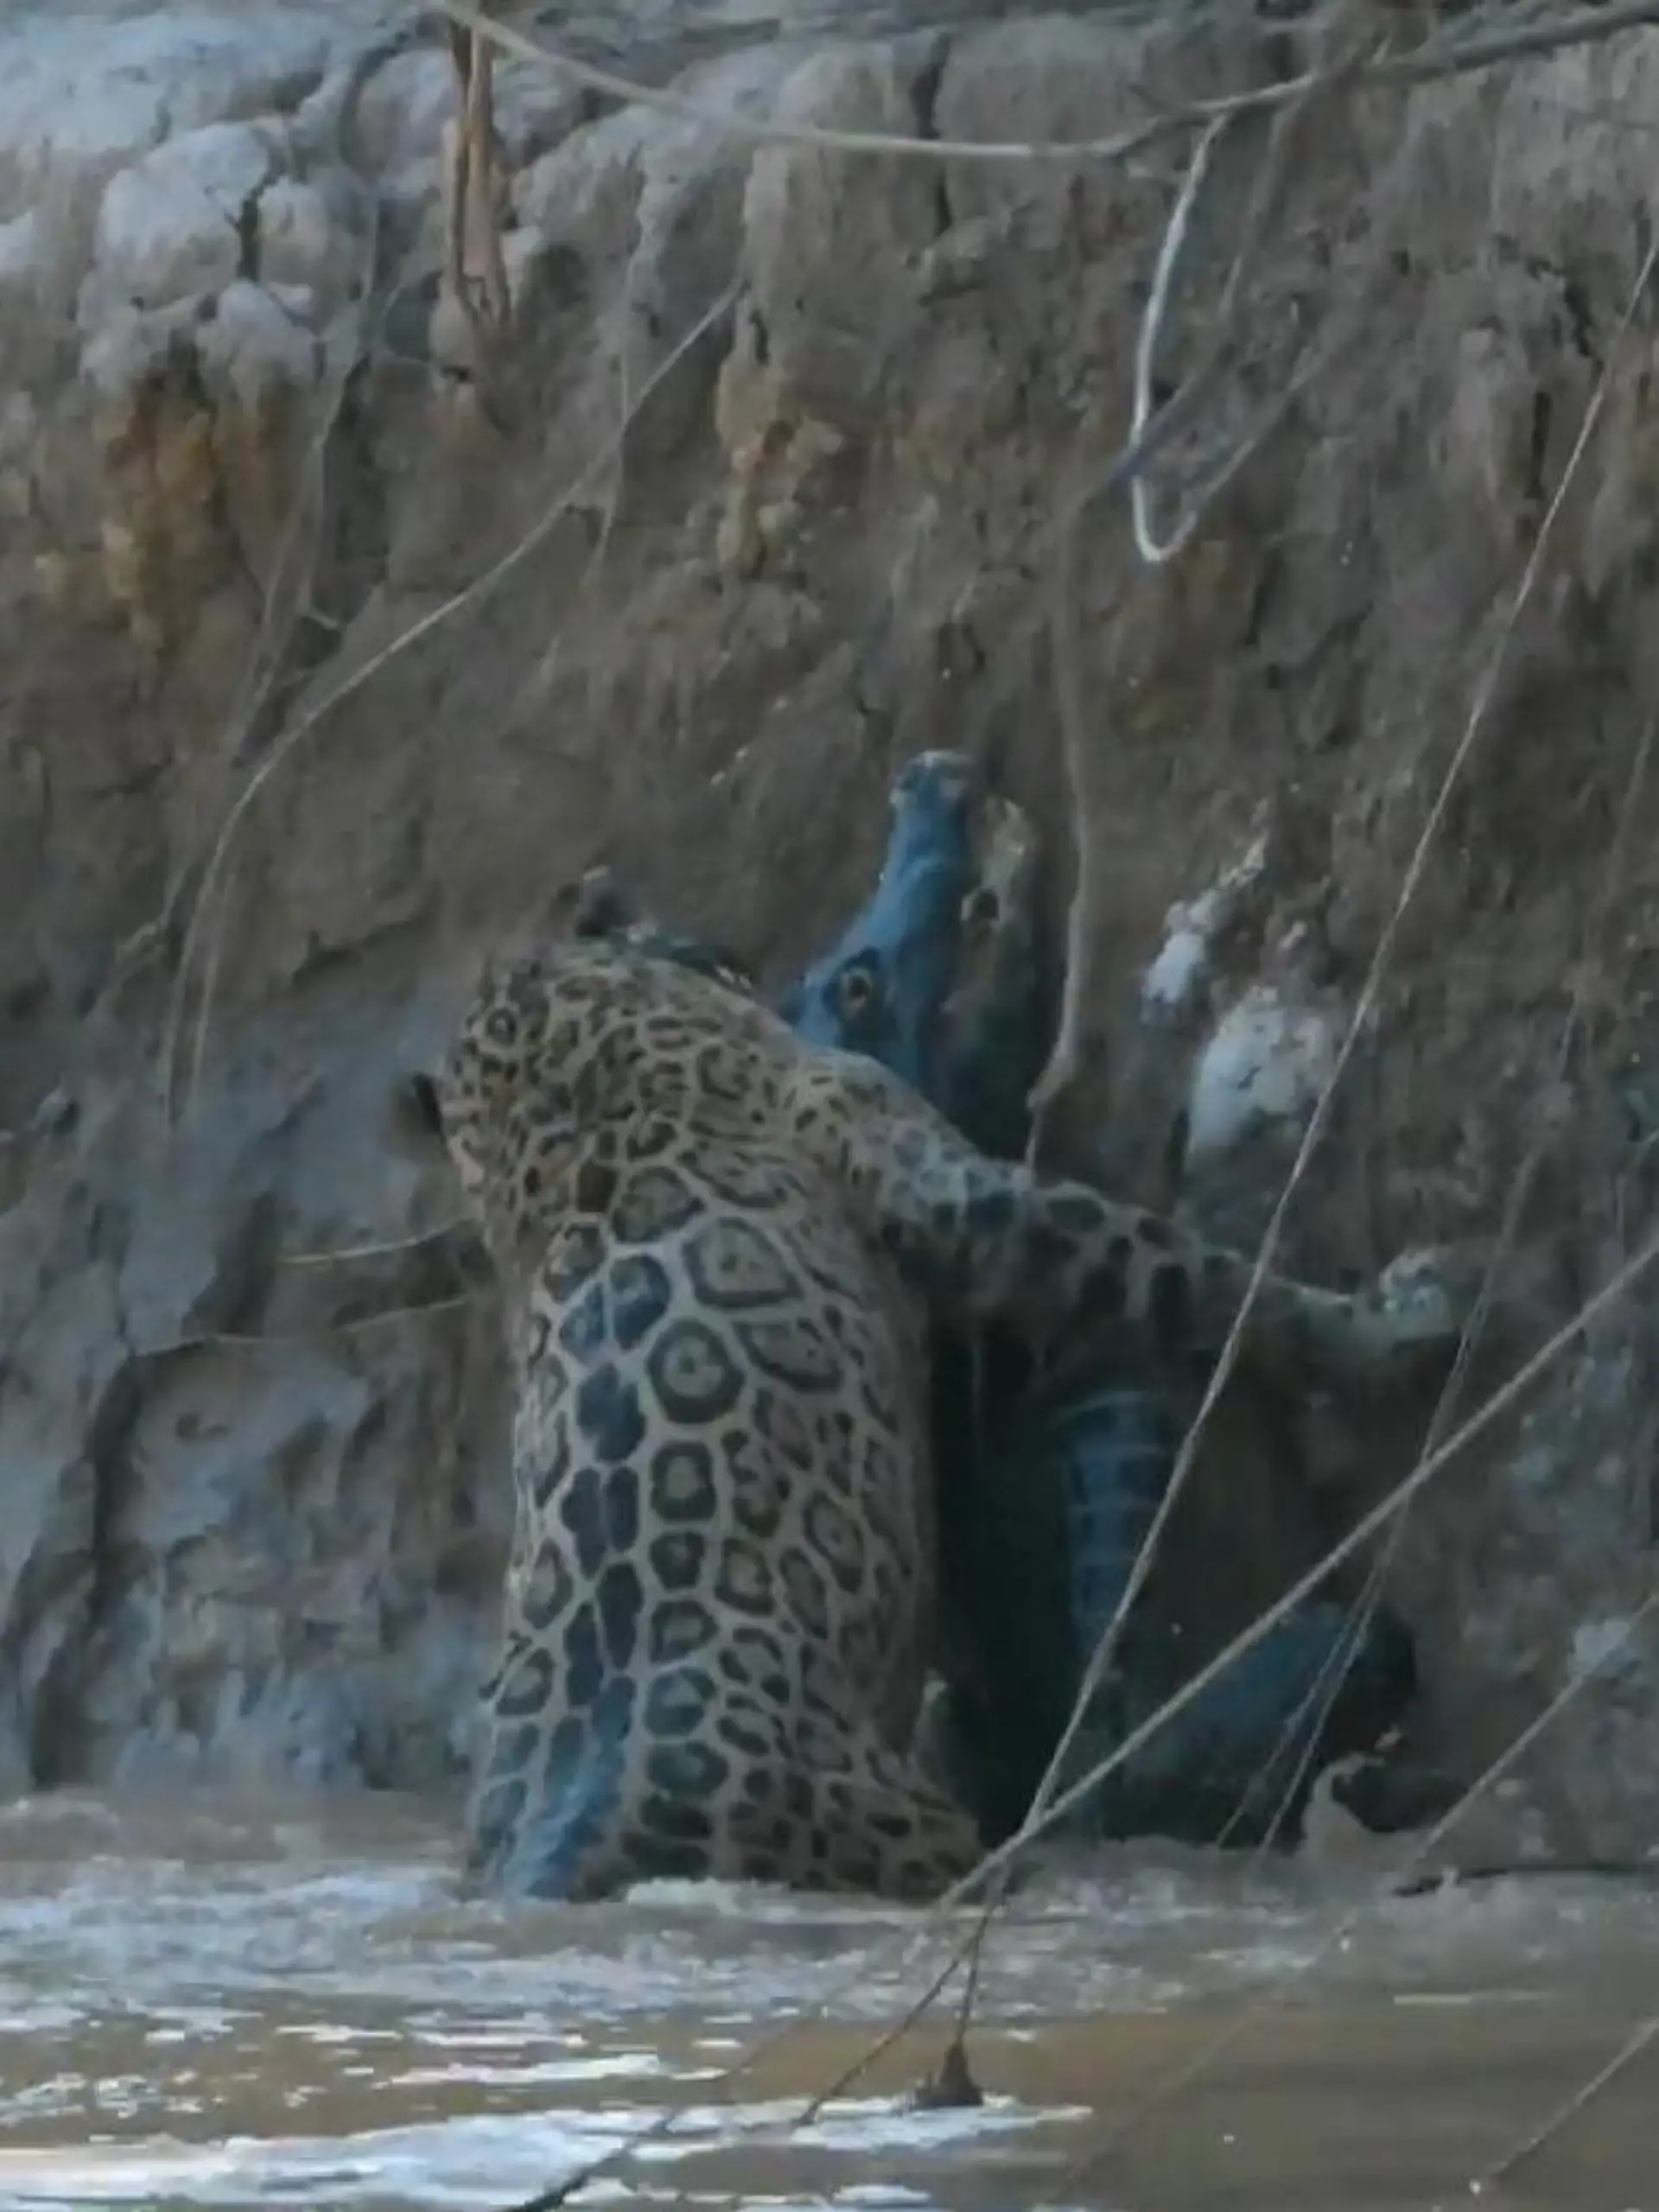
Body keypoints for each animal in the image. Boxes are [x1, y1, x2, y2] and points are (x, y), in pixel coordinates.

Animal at [392, 868, 1475, 1905]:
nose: (727, 945)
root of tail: (558, 1845)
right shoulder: (928, 1171)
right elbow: (1185, 1273)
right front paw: (1404, 1317)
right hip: (910, 1828)